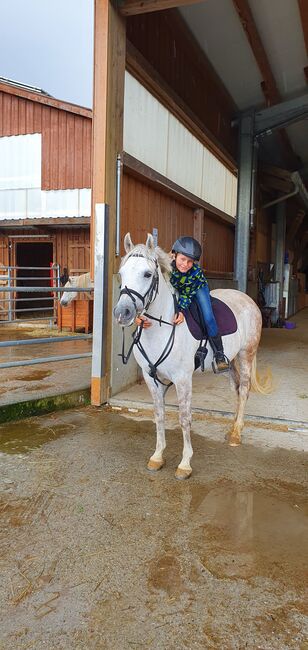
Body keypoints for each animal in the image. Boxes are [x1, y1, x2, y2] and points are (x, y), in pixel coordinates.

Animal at [113, 232, 272, 476]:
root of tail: (247, 300)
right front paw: (157, 457)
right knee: (237, 390)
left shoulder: (182, 379)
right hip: (230, 362)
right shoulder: (152, 379)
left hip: (246, 355)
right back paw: (233, 428)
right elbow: (159, 416)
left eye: (147, 274)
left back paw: (236, 434)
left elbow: (184, 418)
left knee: (244, 390)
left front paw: (185, 463)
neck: (163, 325)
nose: (123, 313)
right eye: (121, 274)